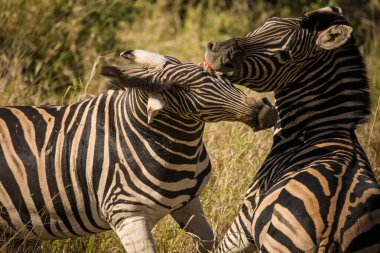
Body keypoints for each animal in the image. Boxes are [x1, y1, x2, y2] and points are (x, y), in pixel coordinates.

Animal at [0, 50, 278, 253]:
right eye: (187, 91)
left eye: (219, 75)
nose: (266, 111)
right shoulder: (128, 217)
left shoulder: (189, 203)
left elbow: (208, 243)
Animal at [205, 5, 380, 253]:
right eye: (267, 23)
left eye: (286, 56)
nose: (216, 53)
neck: (319, 130)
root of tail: (333, 227)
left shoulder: (246, 216)